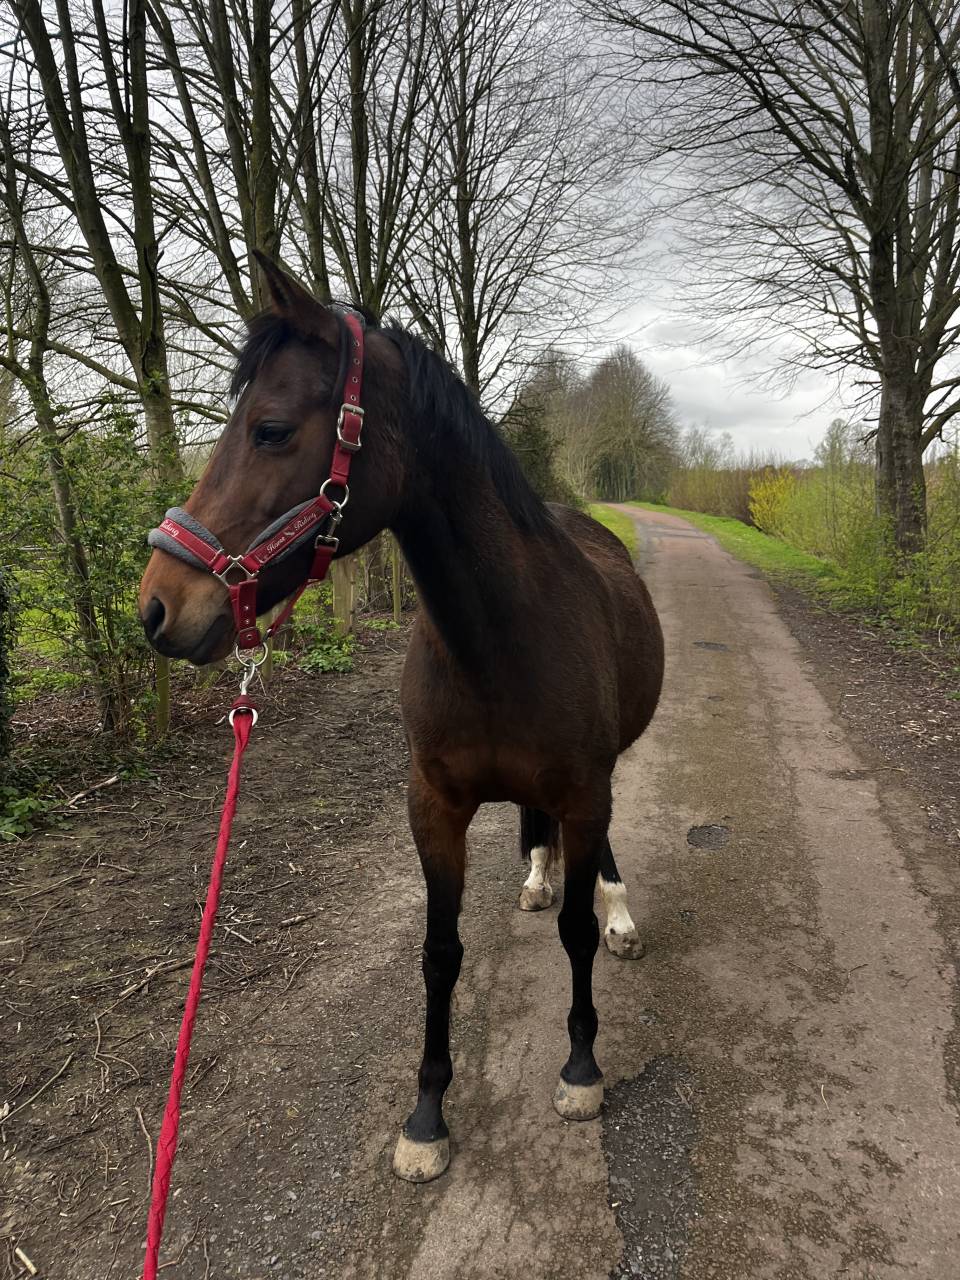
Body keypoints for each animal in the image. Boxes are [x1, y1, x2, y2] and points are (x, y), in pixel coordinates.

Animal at [138, 257, 664, 1183]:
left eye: (271, 429)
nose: (158, 607)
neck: (499, 638)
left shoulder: (583, 788)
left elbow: (575, 934)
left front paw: (580, 1067)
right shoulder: (434, 806)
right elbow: (439, 953)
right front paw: (426, 1116)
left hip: (599, 782)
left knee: (596, 858)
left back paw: (619, 913)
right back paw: (538, 876)